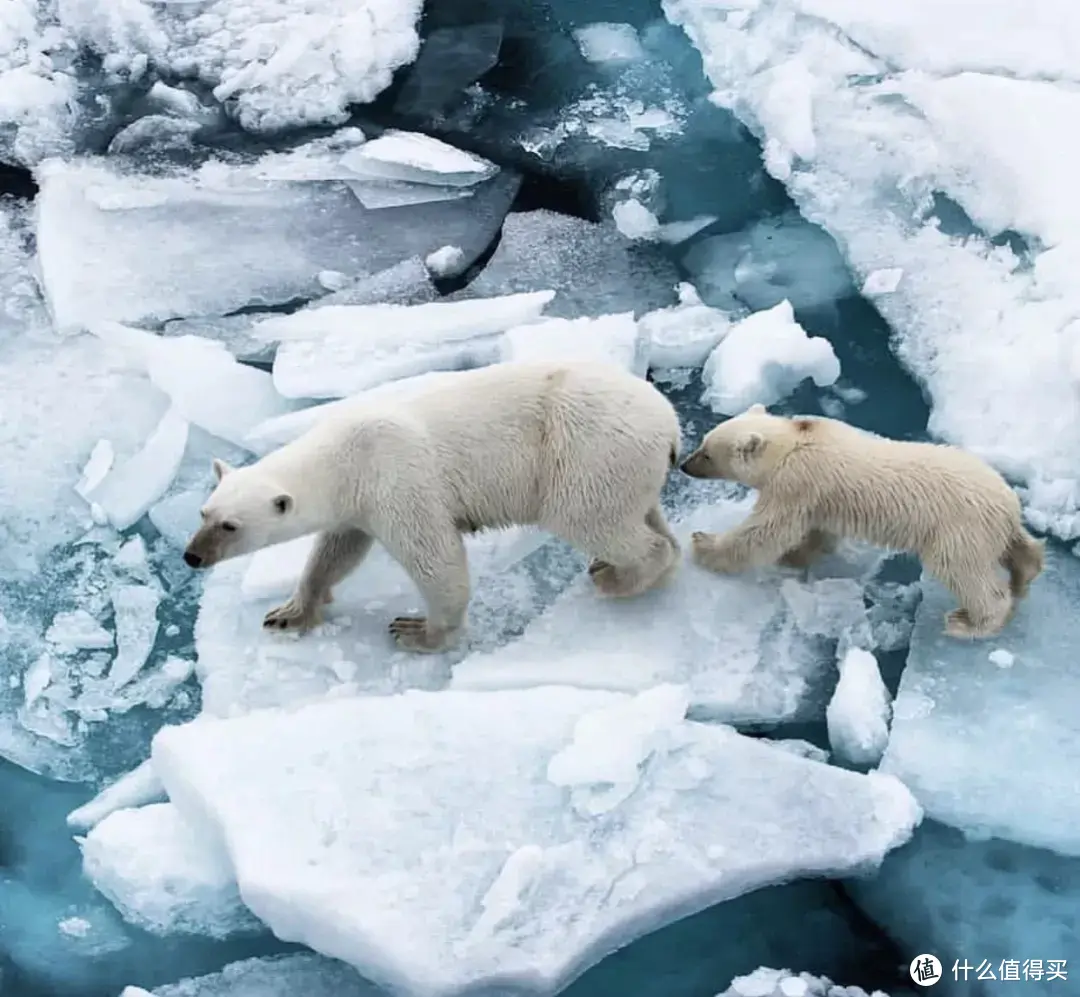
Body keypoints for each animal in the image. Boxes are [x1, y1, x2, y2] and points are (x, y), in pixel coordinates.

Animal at [181, 358, 678, 656]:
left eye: (230, 526)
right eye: (204, 513)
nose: (191, 556)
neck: (347, 453)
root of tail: (670, 424)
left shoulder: (399, 481)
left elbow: (435, 560)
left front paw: (419, 631)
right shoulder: (357, 505)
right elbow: (336, 551)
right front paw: (288, 612)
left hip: (586, 454)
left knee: (588, 517)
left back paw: (616, 576)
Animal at [682, 406, 1045, 639]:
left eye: (707, 453)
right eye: (702, 442)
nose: (684, 464)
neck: (795, 442)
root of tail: (1008, 504)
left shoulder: (796, 481)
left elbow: (766, 531)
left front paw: (703, 544)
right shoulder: (818, 497)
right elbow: (817, 532)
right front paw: (798, 555)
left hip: (959, 527)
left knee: (961, 570)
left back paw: (969, 622)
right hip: (989, 527)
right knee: (1020, 549)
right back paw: (1024, 577)